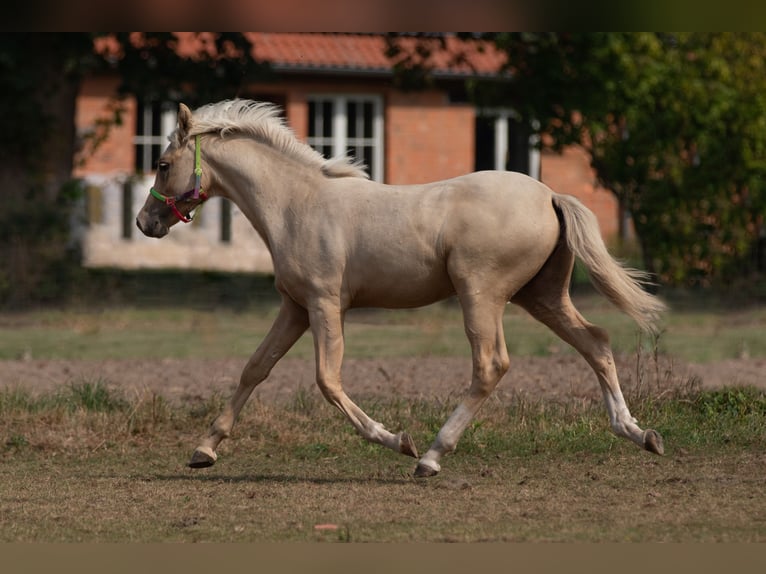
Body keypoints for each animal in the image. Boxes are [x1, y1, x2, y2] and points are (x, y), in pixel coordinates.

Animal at [136, 99, 664, 476]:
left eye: (161, 163)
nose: (145, 223)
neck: (297, 204)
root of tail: (551, 195)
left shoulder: (325, 305)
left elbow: (328, 380)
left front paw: (396, 440)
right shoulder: (294, 307)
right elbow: (254, 369)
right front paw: (203, 450)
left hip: (481, 295)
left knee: (491, 364)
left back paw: (430, 456)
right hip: (542, 296)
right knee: (596, 342)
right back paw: (639, 433)